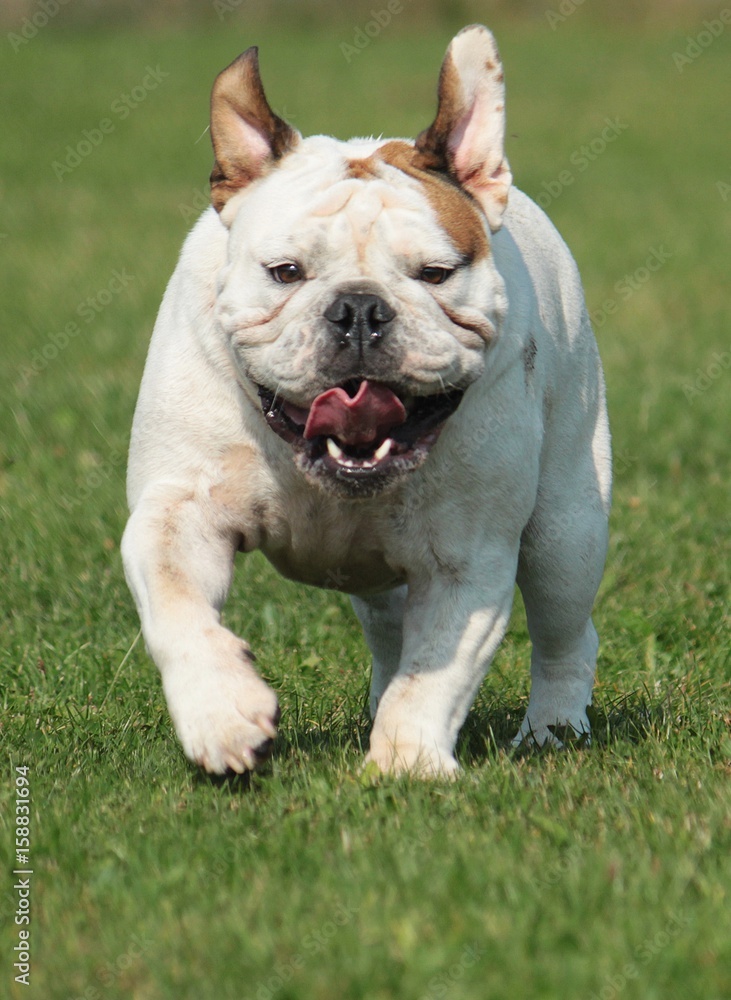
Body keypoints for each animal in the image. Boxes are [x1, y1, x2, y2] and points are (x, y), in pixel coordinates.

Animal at [121, 21, 612, 772]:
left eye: (436, 273)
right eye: (284, 271)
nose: (358, 309)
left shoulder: (468, 558)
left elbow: (436, 668)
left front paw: (406, 764)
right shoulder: (178, 508)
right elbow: (179, 610)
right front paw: (223, 713)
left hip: (567, 529)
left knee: (563, 631)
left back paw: (552, 727)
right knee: (389, 628)